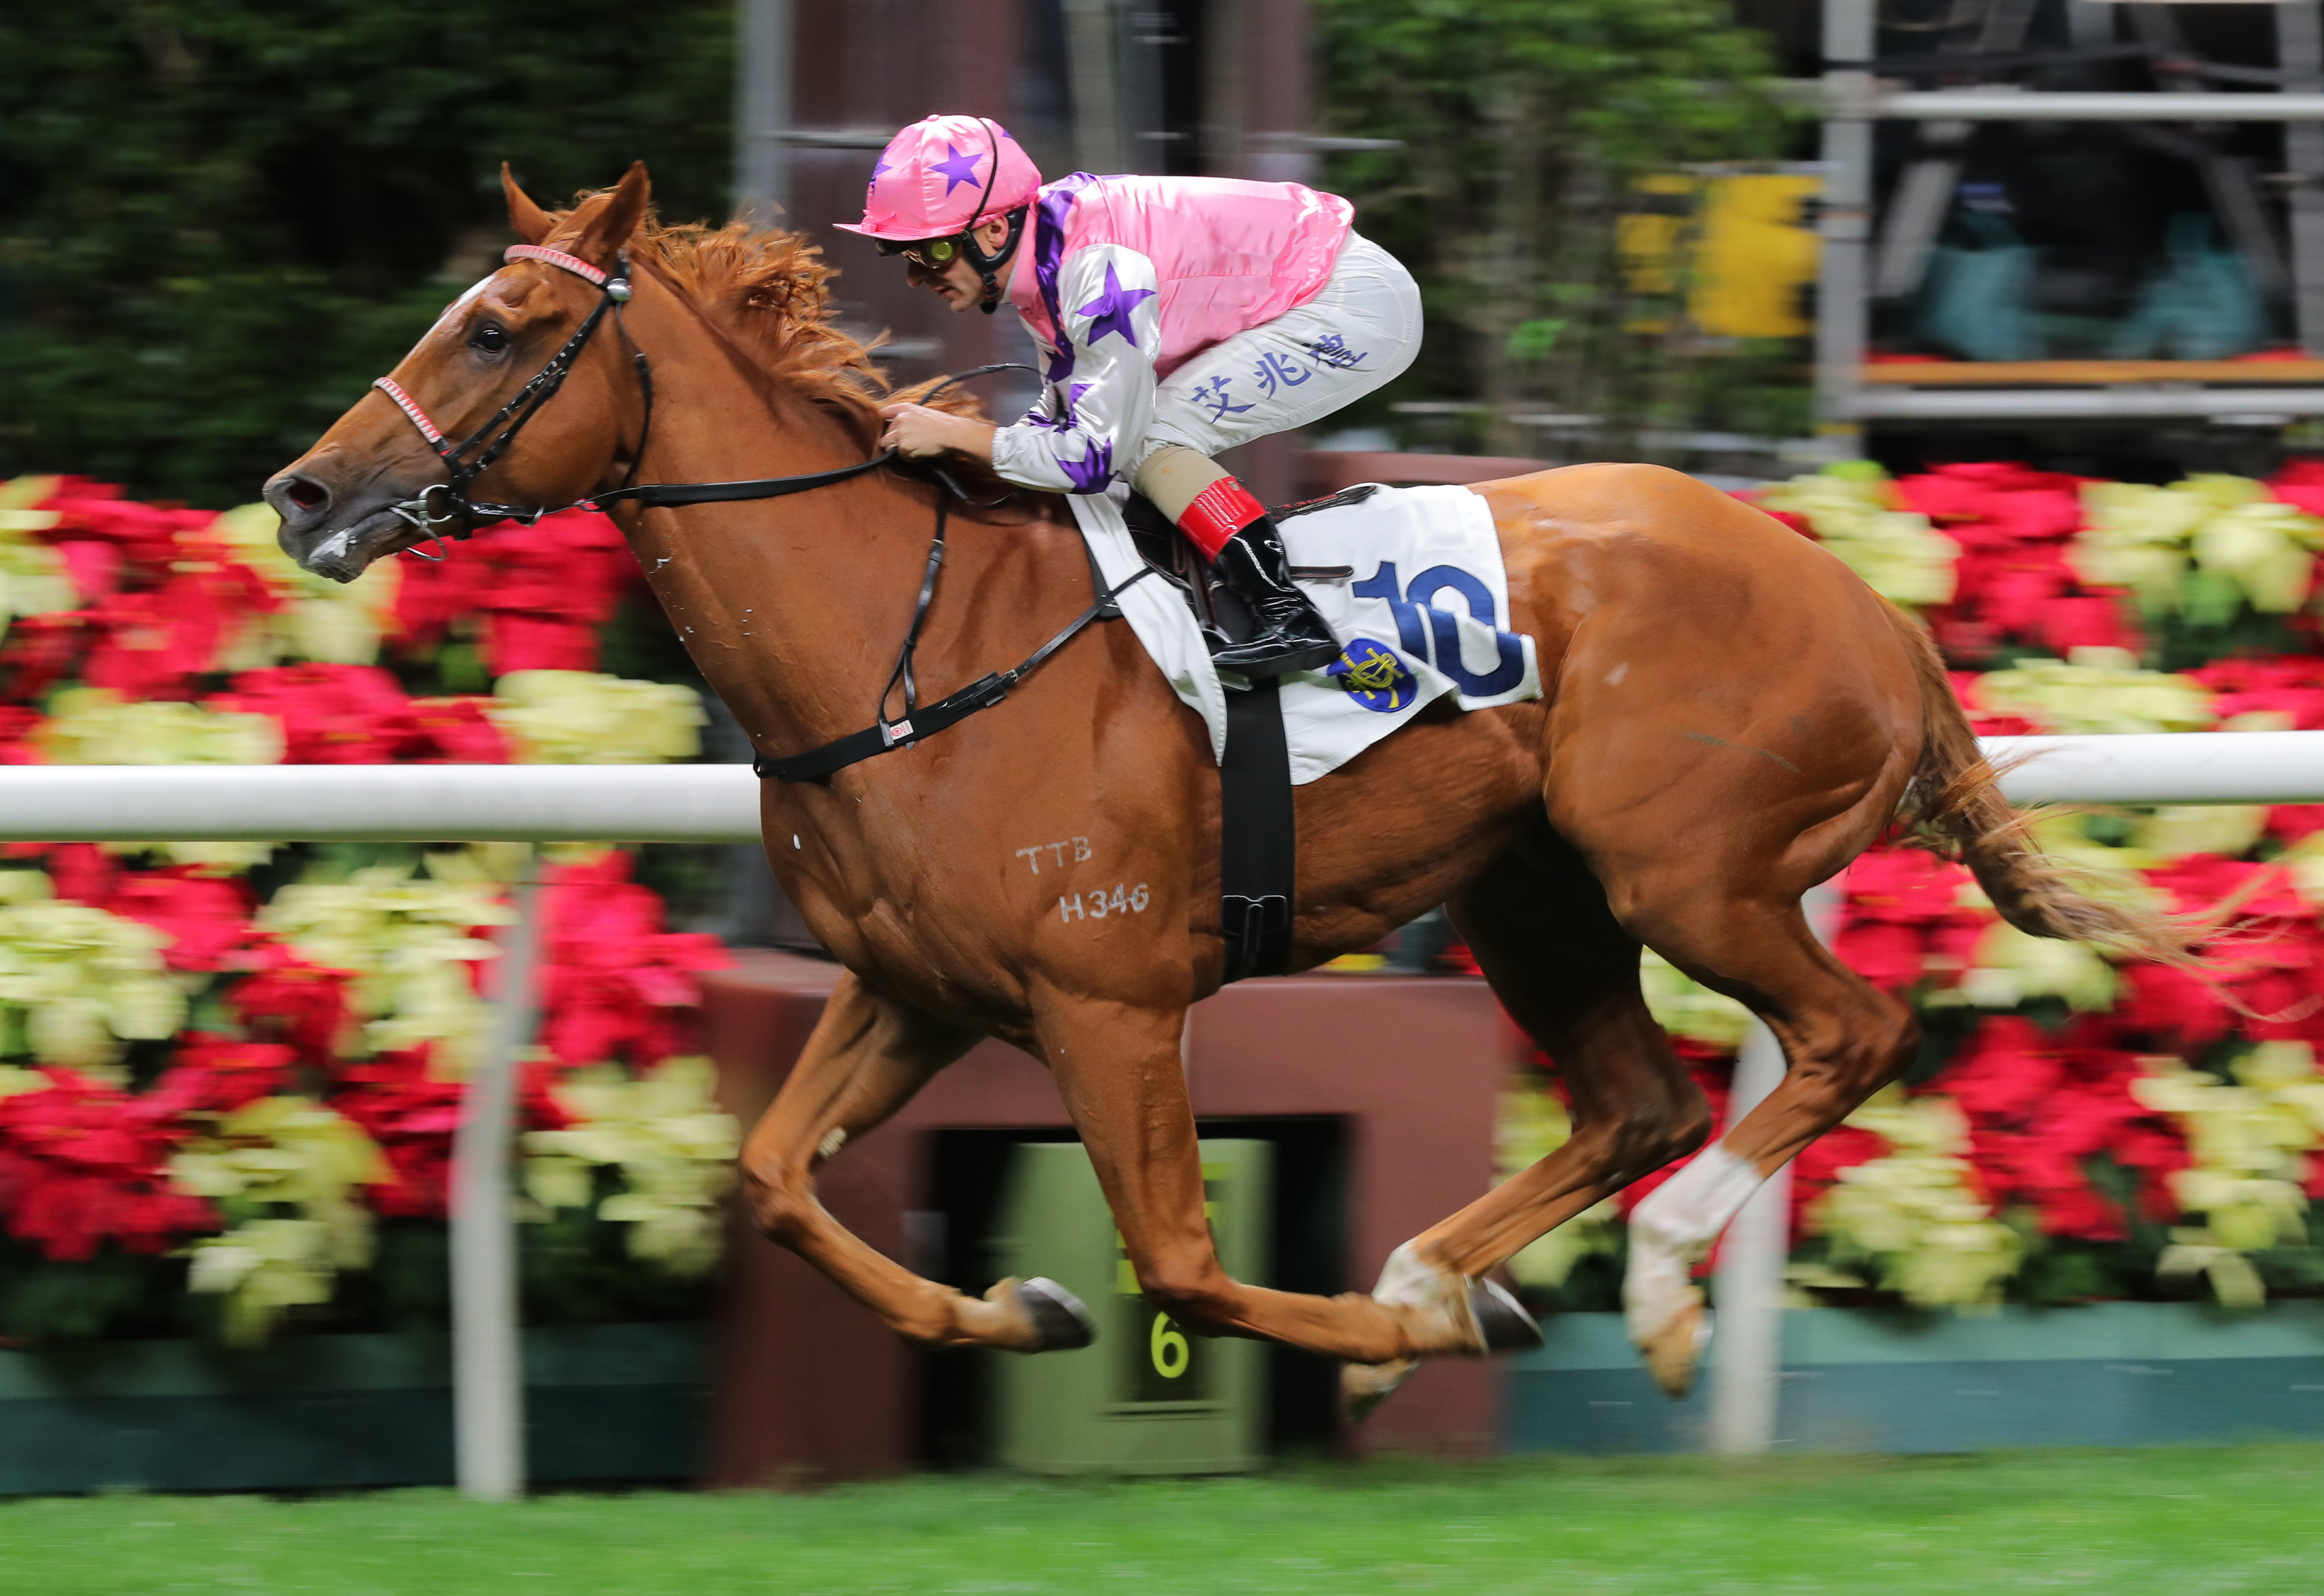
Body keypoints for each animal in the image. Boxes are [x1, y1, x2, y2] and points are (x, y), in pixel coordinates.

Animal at [263, 162, 2184, 1412]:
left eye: (501, 327)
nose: (300, 494)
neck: (905, 643)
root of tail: (1867, 601)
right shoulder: (910, 986)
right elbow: (775, 1180)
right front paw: (1020, 1306)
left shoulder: (1108, 999)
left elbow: (1181, 1260)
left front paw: (1407, 1338)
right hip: (1533, 890)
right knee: (1638, 1099)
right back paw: (1445, 1266)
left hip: (1689, 874)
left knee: (1853, 1035)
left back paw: (1622, 1287)